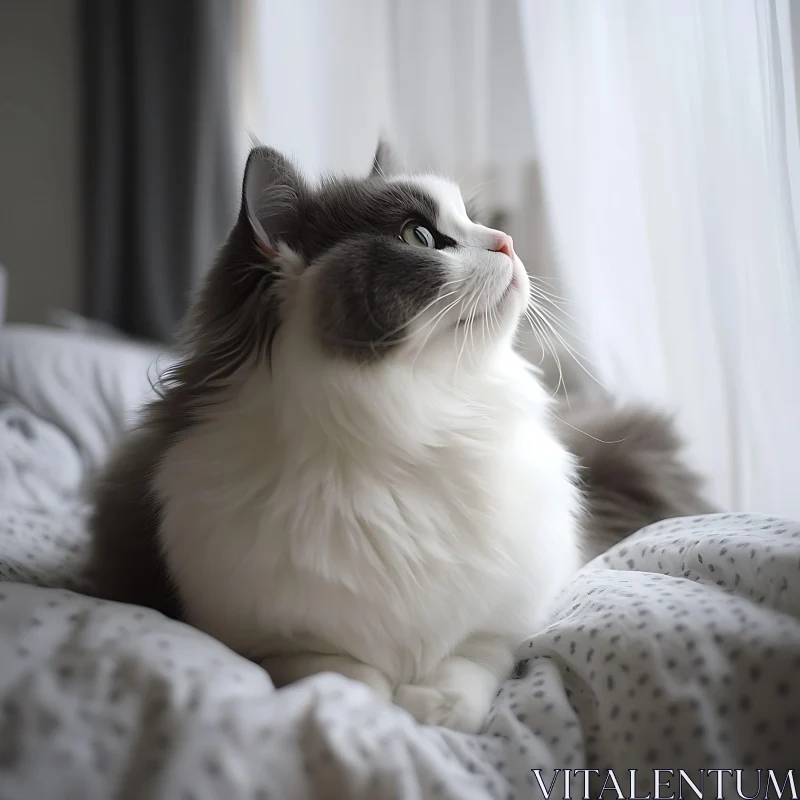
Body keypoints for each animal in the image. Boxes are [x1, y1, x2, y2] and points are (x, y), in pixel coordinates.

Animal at [90, 142, 716, 732]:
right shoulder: (268, 637)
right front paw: (377, 711)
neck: (412, 430)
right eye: (420, 236)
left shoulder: (501, 622)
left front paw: (432, 709)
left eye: (474, 219)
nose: (508, 243)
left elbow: (468, 666)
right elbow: (341, 675)